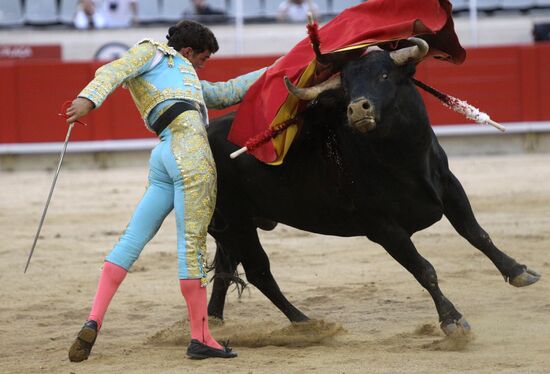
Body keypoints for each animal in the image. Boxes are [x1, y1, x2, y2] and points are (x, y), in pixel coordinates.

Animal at [205, 39, 540, 334]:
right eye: (347, 88)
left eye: (384, 75)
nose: (357, 109)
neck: (404, 159)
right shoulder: (383, 228)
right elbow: (424, 269)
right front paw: (452, 320)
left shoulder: (449, 187)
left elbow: (476, 233)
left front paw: (519, 271)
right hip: (236, 222)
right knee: (259, 271)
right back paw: (306, 324)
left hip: (234, 226)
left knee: (225, 269)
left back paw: (215, 320)